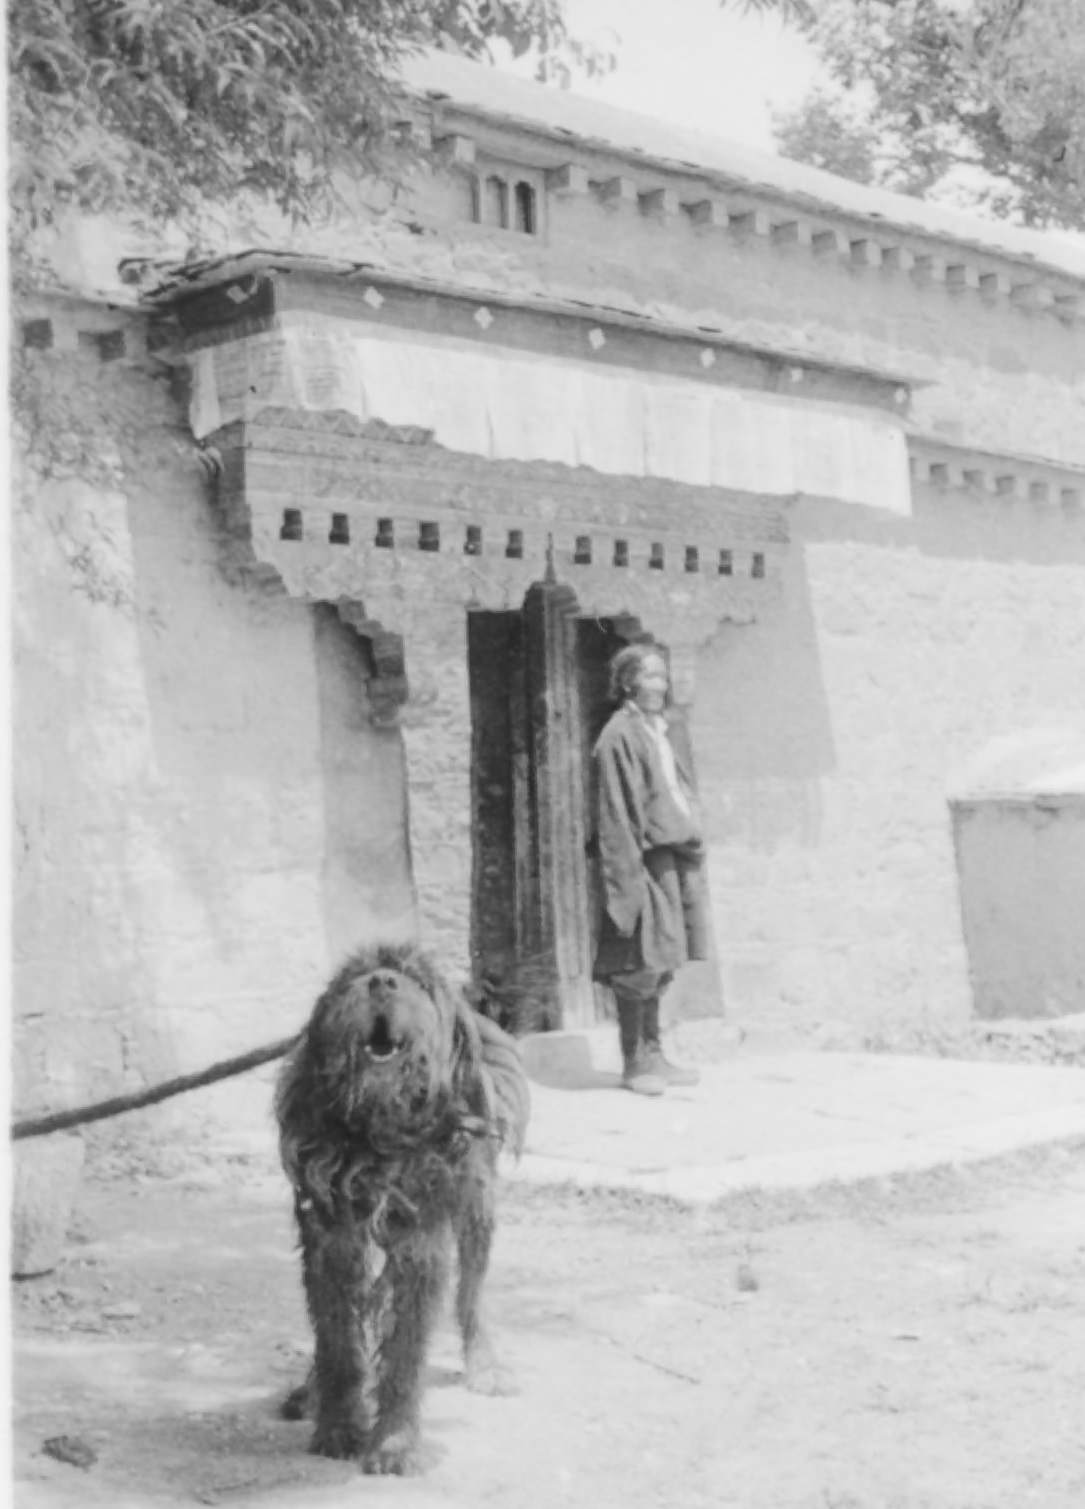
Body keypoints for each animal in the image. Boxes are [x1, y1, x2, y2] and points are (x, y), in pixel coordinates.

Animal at [276, 941, 531, 1472]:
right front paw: (338, 1425)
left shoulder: (421, 1247)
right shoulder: (331, 1244)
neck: (378, 1137)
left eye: (418, 982)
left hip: (477, 1212)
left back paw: (485, 1364)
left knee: (471, 1296)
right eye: (355, 977)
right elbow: (338, 1345)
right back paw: (310, 1391)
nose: (381, 982)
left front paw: (394, 1443)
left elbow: (406, 1353)